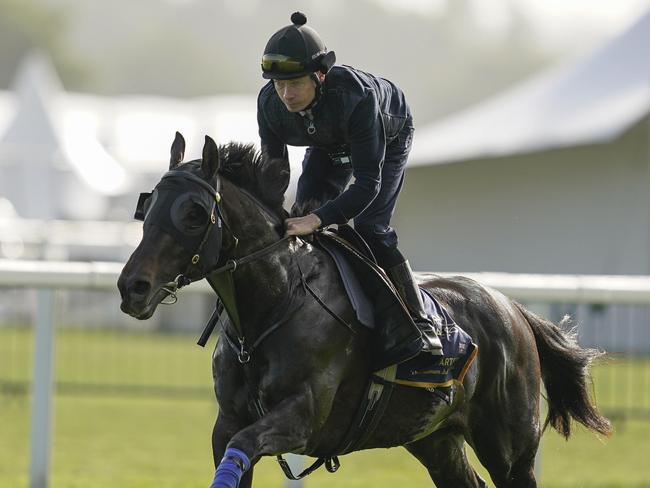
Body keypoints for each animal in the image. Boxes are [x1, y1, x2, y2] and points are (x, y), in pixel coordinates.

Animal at [117, 133, 612, 488]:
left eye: (194, 213)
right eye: (148, 205)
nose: (131, 287)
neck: (278, 301)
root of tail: (514, 309)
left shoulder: (301, 417)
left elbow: (253, 440)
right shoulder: (228, 423)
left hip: (511, 451)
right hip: (434, 439)